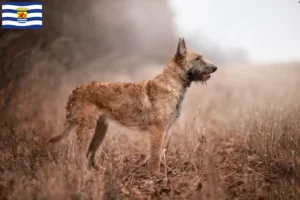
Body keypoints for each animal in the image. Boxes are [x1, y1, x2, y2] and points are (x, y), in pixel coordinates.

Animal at [49, 38, 218, 175]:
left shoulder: (166, 129)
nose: (215, 67)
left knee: (89, 153)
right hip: (87, 129)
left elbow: (160, 152)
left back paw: (100, 172)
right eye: (198, 58)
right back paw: (84, 174)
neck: (172, 83)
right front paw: (155, 176)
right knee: (80, 154)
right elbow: (156, 154)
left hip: (100, 129)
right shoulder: (157, 130)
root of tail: (75, 91)